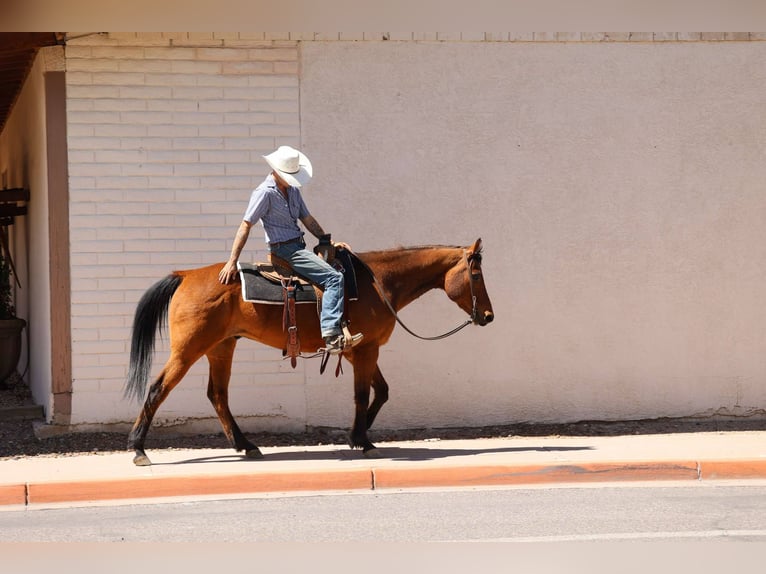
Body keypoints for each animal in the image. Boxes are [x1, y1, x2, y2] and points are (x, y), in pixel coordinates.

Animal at [125, 238, 494, 466]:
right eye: (476, 275)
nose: (489, 316)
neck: (380, 283)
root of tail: (185, 275)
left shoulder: (361, 350)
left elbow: (382, 391)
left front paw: (356, 435)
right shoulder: (366, 351)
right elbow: (363, 394)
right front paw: (363, 440)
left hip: (220, 348)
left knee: (217, 395)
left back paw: (246, 446)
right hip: (188, 350)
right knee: (158, 389)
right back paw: (138, 448)